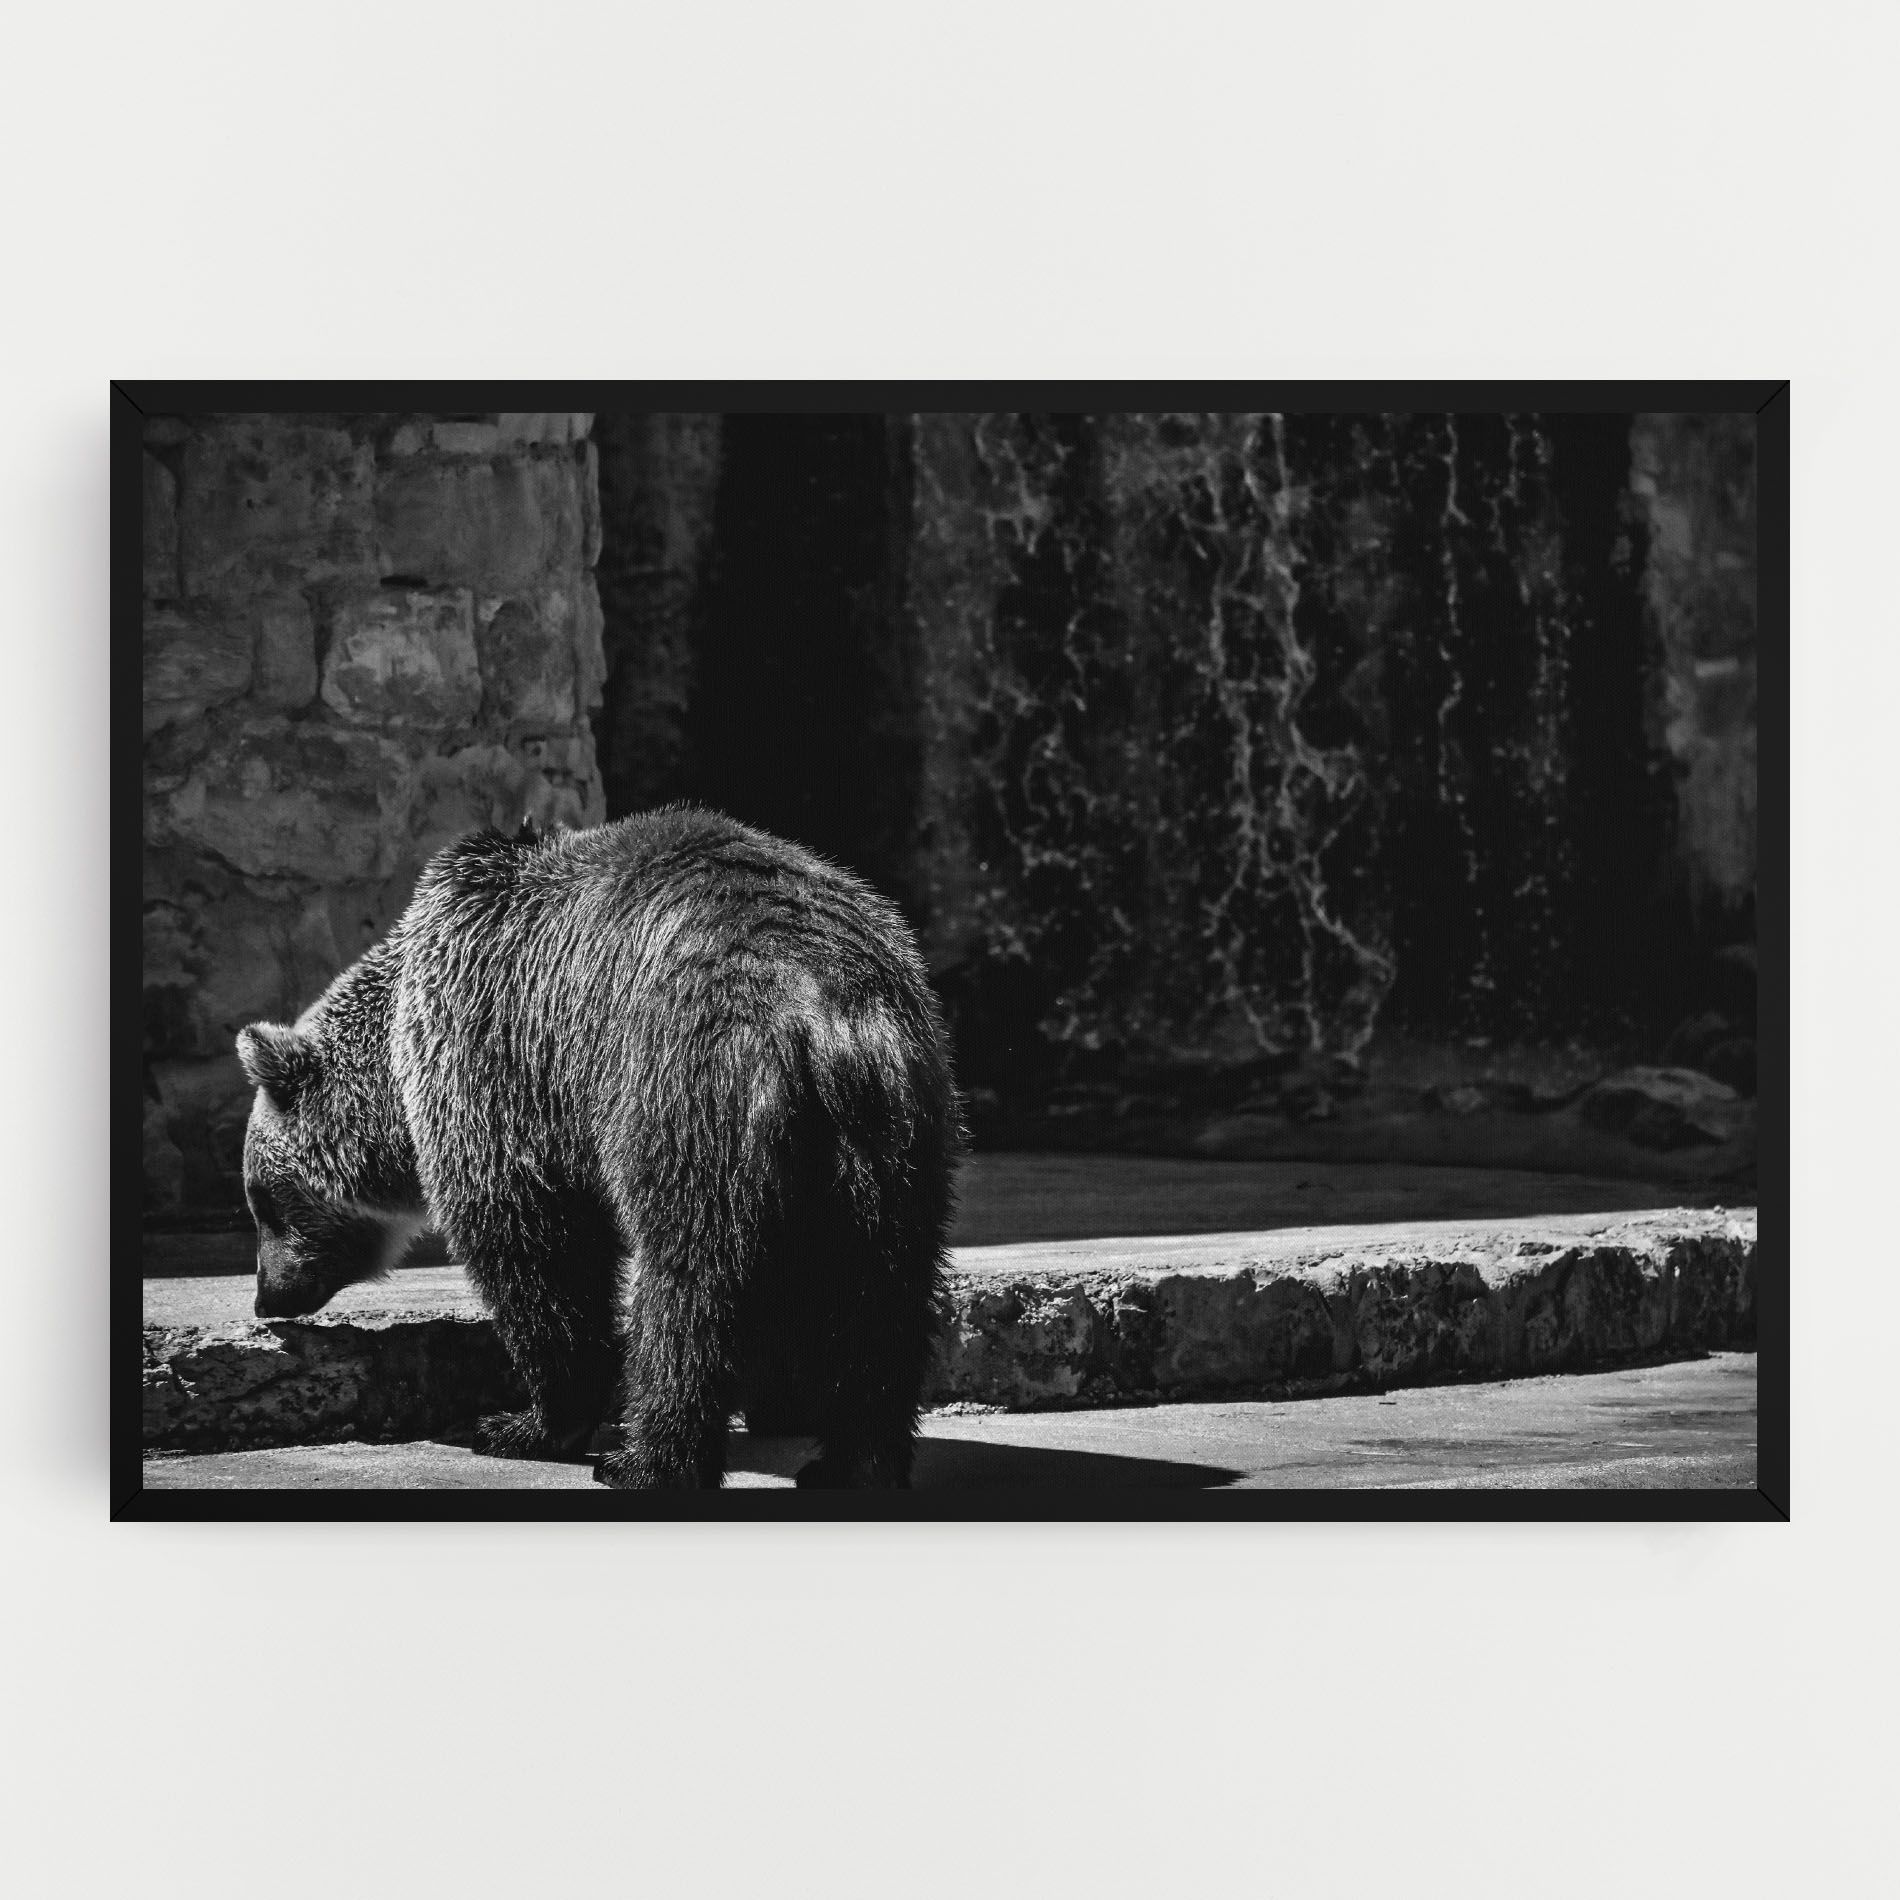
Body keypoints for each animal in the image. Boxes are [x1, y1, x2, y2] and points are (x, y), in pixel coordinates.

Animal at [235, 805, 962, 1489]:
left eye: (263, 1201)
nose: (267, 1299)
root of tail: (824, 1010)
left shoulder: (502, 1059)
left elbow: (537, 1248)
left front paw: (519, 1423)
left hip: (690, 1091)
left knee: (691, 1288)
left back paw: (646, 1462)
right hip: (895, 1134)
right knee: (881, 1294)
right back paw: (854, 1463)